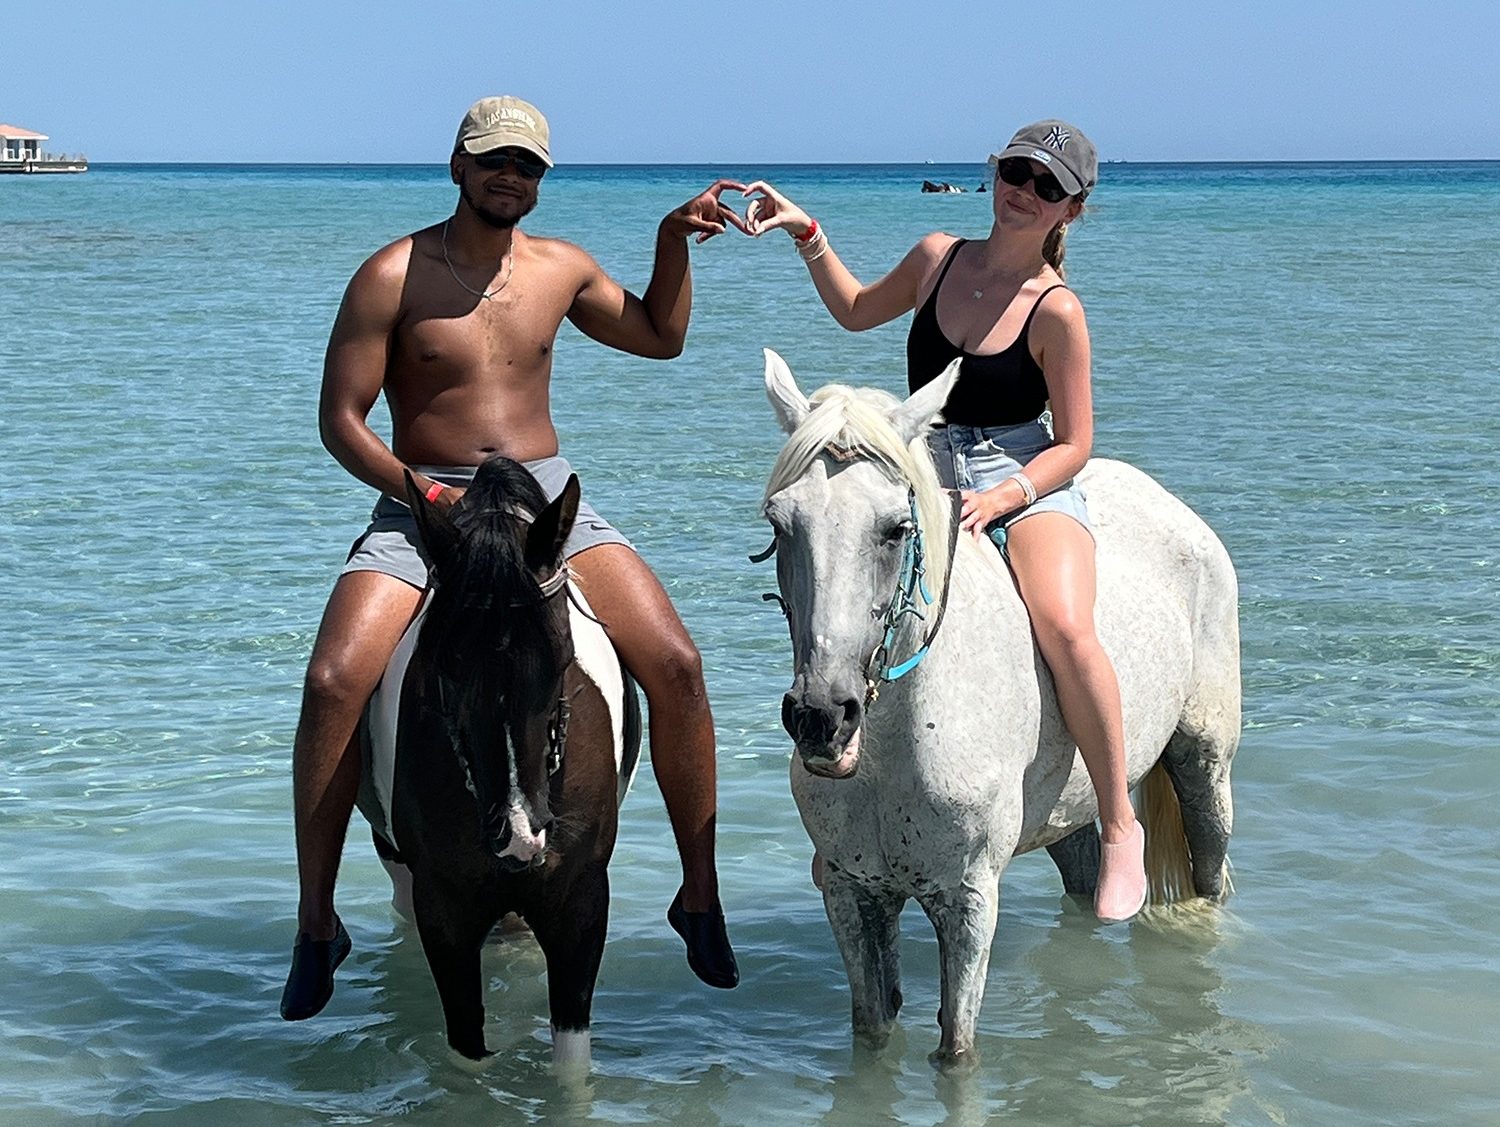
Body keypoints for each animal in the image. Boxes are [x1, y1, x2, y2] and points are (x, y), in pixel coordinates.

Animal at [354, 456, 641, 1064]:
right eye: (446, 663)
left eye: (561, 658)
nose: (519, 833)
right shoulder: (445, 908)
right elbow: (466, 1056)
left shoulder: (580, 903)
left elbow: (571, 1067)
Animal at [756, 350, 1240, 1067]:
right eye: (779, 522)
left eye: (895, 529)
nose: (822, 715)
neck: (896, 748)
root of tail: (1177, 512)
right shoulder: (852, 893)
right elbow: (872, 1031)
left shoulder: (969, 900)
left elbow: (957, 1051)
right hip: (1068, 814)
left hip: (1203, 763)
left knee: (1210, 869)